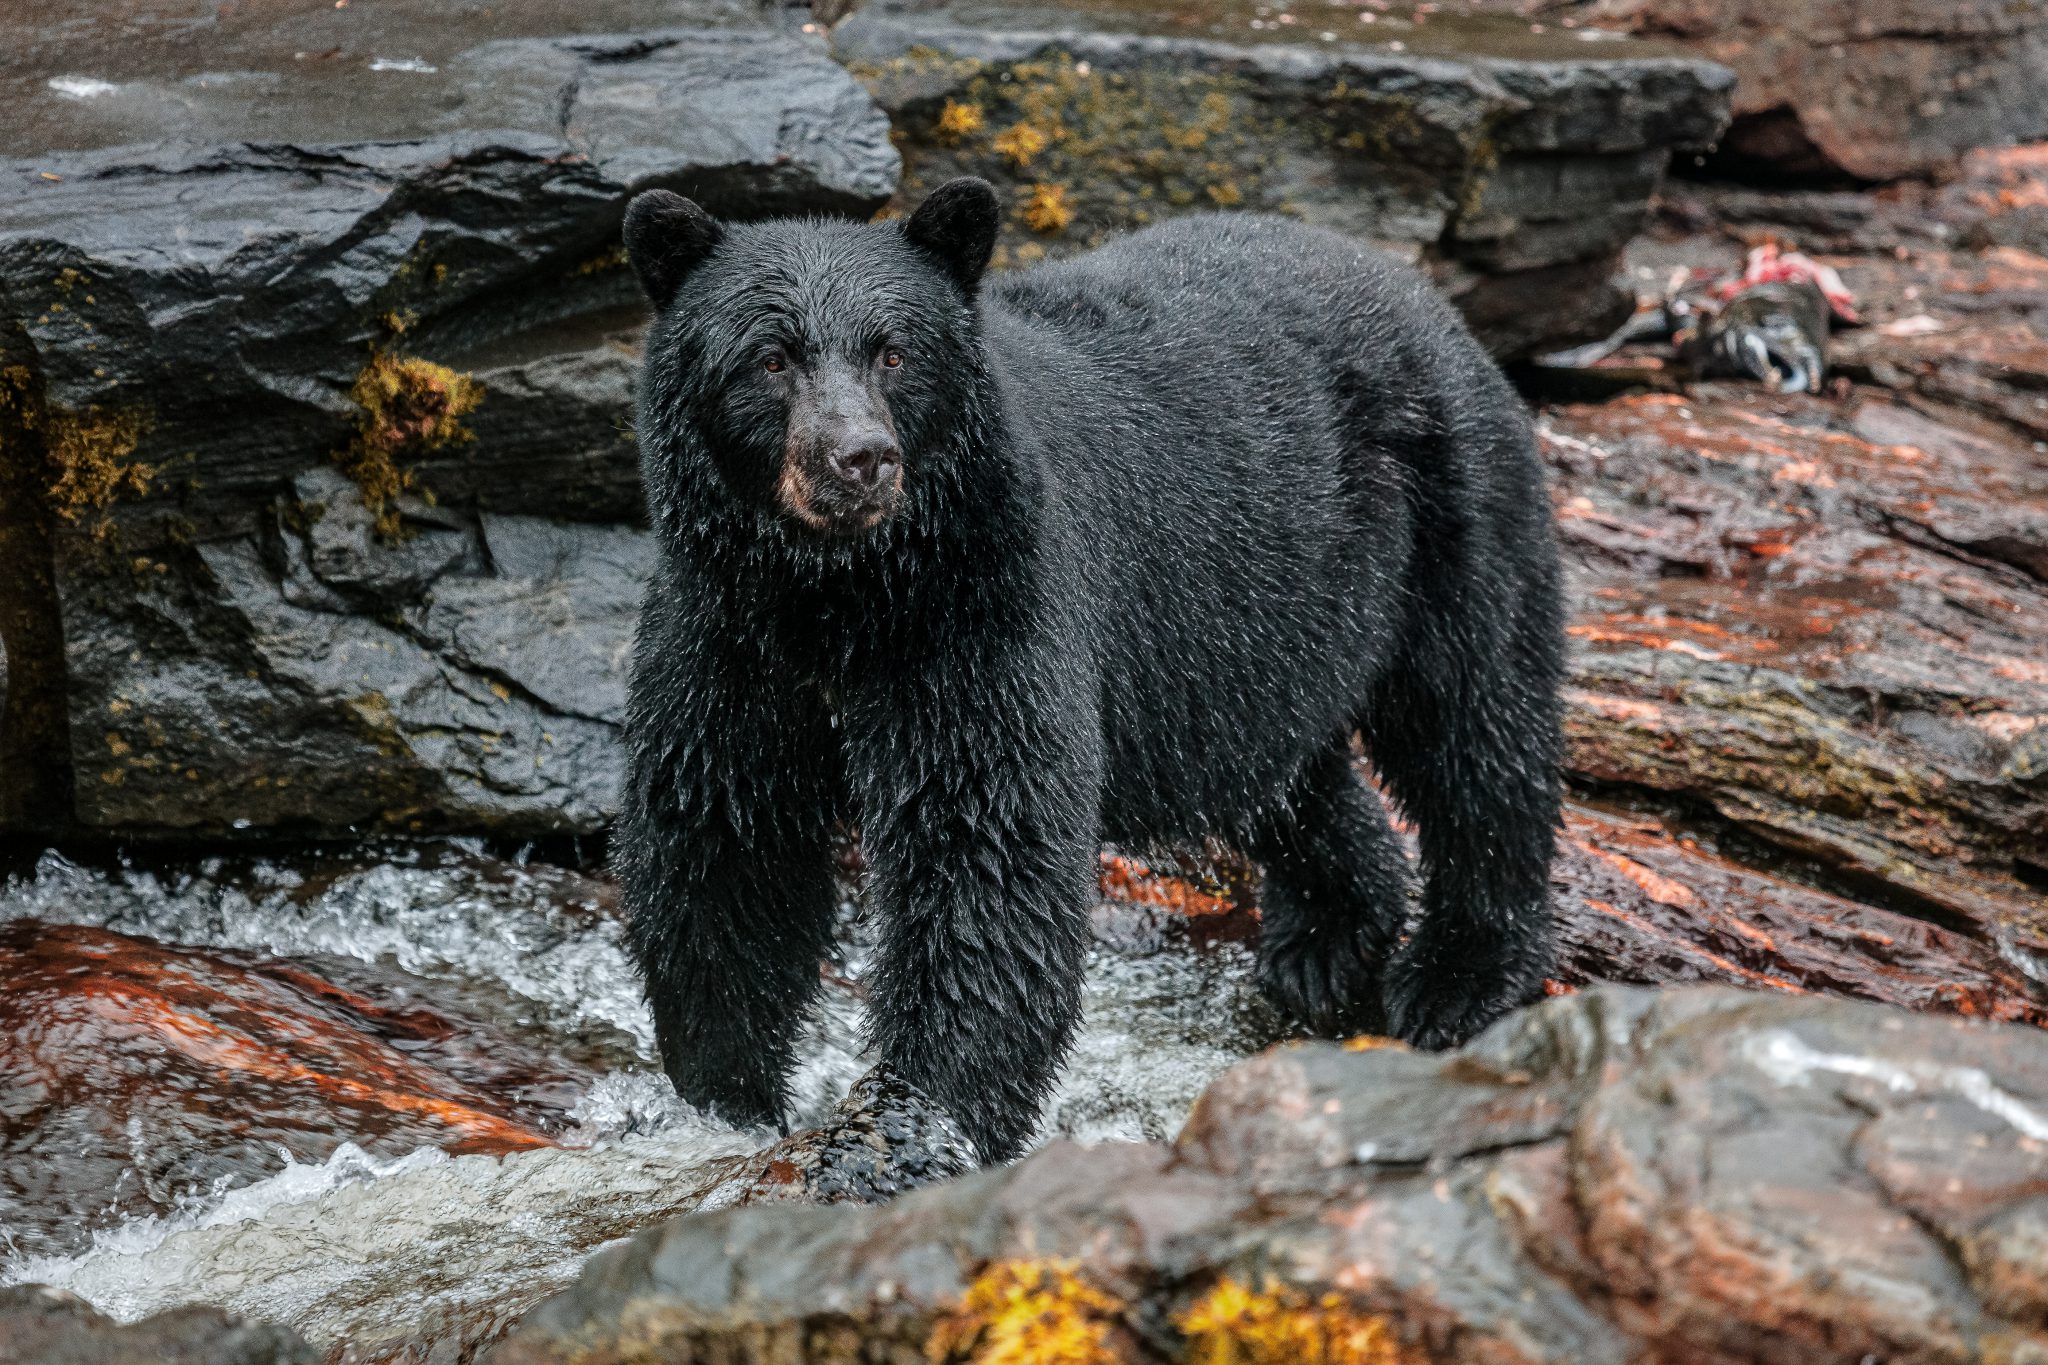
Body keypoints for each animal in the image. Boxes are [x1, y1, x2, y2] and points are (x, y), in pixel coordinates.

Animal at [614, 179, 1556, 1162]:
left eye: (895, 351)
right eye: (770, 358)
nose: (860, 458)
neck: (839, 593)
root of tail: (1413, 287)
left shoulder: (988, 602)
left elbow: (986, 850)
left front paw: (913, 1128)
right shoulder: (727, 634)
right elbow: (725, 837)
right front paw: (722, 1101)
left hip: (1448, 507)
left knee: (1476, 724)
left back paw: (1464, 971)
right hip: (1252, 641)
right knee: (1288, 776)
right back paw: (1327, 936)